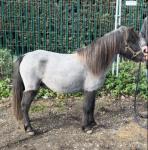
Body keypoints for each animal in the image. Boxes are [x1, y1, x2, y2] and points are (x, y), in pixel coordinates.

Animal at [12, 26, 145, 135]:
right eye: (131, 41)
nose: (143, 57)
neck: (93, 62)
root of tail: (25, 56)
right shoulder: (89, 89)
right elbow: (86, 107)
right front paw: (86, 128)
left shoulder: (93, 90)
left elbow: (92, 106)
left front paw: (93, 123)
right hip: (31, 88)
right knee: (24, 106)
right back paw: (29, 129)